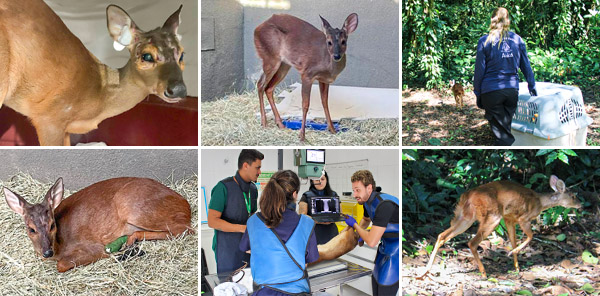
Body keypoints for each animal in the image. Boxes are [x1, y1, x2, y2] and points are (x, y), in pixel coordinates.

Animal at [3, 177, 192, 272]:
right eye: (31, 229)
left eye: (52, 225)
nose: (47, 252)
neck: (60, 245)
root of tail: (186, 206)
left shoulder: (91, 245)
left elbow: (61, 265)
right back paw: (131, 241)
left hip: (132, 207)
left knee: (184, 229)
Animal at [252, 14, 356, 142]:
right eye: (329, 42)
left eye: (343, 41)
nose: (336, 56)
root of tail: (257, 29)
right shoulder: (307, 74)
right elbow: (305, 104)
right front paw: (302, 135)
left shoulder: (323, 80)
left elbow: (325, 102)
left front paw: (332, 129)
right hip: (270, 57)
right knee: (260, 84)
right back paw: (264, 122)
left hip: (284, 65)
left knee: (269, 88)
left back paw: (280, 124)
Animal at [418, 176, 580, 280]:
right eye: (573, 196)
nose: (581, 205)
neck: (540, 202)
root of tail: (468, 196)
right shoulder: (523, 218)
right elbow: (530, 236)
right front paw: (512, 254)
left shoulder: (509, 219)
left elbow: (513, 241)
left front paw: (517, 268)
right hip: (492, 216)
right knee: (472, 242)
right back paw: (484, 273)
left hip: (465, 216)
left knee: (442, 235)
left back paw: (425, 271)